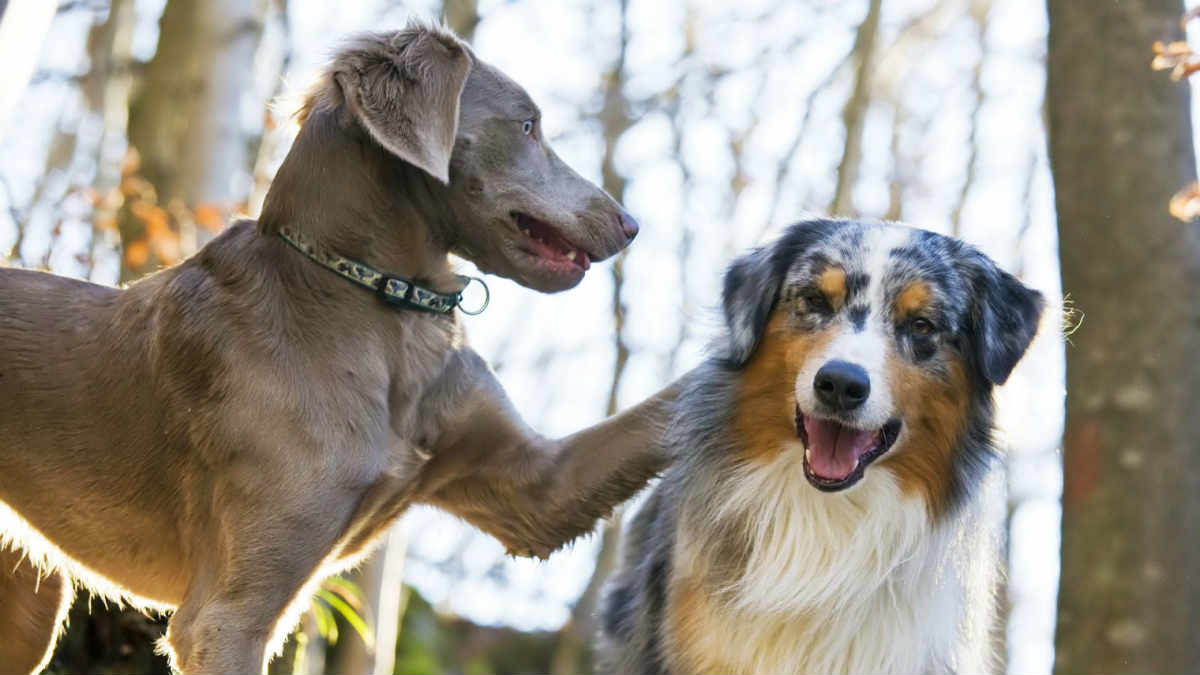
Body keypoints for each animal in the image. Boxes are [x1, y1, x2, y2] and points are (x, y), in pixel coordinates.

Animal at [0, 23, 676, 667]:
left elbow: (662, 410)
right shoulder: (226, 617)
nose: (632, 225)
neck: (376, 303)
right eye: (528, 125)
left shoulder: (536, 488)